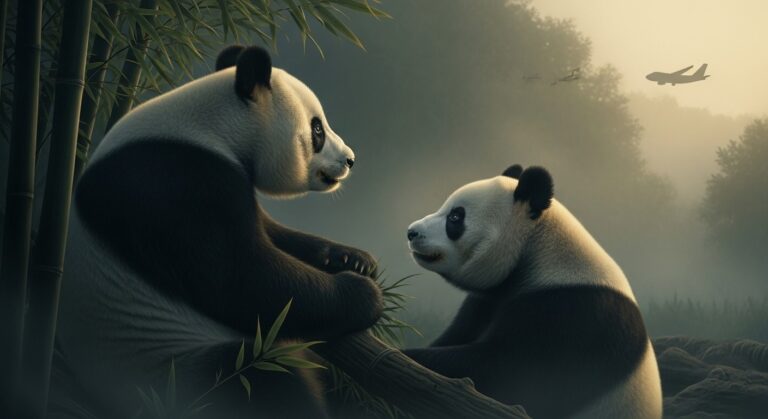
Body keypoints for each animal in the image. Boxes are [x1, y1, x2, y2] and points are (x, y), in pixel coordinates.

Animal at [56, 45, 382, 418]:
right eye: (317, 130)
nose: (350, 159)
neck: (214, 127)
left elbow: (273, 235)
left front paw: (354, 260)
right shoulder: (174, 181)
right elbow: (241, 276)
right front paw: (362, 293)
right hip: (178, 367)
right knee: (265, 381)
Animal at [403, 165, 662, 419]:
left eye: (455, 217)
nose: (411, 232)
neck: (538, 249)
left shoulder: (571, 313)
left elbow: (506, 368)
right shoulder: (489, 299)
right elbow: (459, 333)